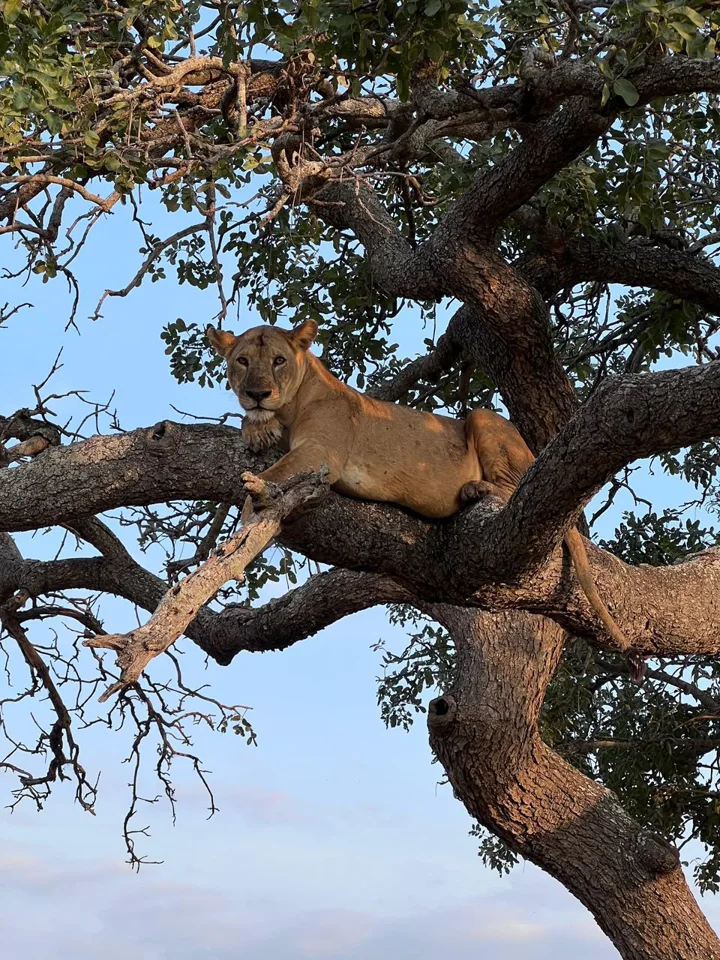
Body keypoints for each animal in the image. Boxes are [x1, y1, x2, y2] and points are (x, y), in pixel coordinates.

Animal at [207, 319, 629, 652]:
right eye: (242, 361)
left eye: (278, 361)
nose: (257, 394)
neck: (291, 406)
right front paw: (257, 429)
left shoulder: (321, 452)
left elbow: (269, 479)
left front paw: (240, 531)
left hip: (482, 418)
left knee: (515, 490)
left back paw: (476, 490)